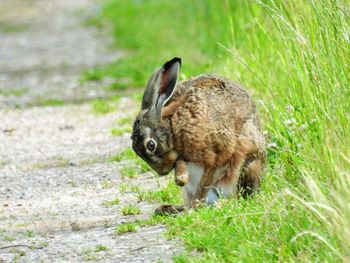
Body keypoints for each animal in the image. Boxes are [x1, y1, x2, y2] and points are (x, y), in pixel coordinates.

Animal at [131, 57, 266, 214]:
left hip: (245, 165)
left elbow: (204, 184)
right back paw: (167, 208)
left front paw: (195, 207)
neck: (173, 126)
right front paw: (181, 180)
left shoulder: (215, 156)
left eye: (151, 145)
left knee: (237, 196)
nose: (162, 172)